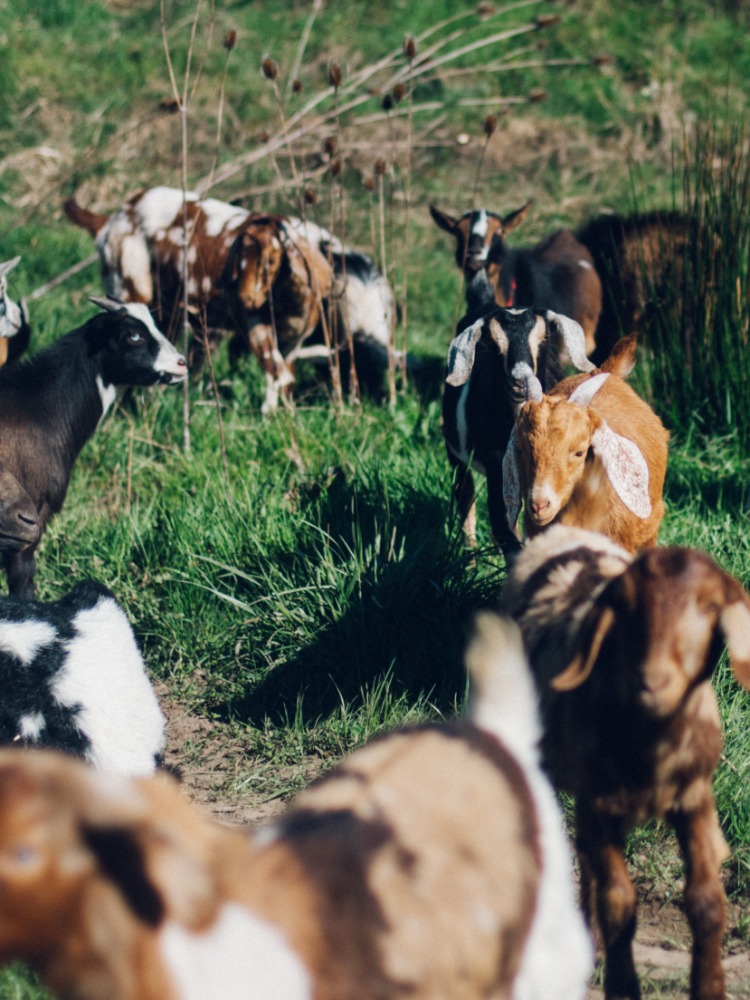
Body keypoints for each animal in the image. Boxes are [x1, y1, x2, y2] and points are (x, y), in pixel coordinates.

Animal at [442, 305, 593, 556]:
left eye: (544, 339)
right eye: (492, 344)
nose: (520, 381)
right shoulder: (499, 470)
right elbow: (504, 527)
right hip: (455, 454)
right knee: (466, 497)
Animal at [500, 524, 750, 1000]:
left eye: (711, 607)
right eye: (627, 609)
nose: (652, 682)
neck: (651, 747)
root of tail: (566, 531)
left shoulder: (695, 800)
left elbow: (707, 900)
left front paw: (709, 986)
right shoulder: (600, 802)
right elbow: (618, 900)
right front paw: (621, 983)